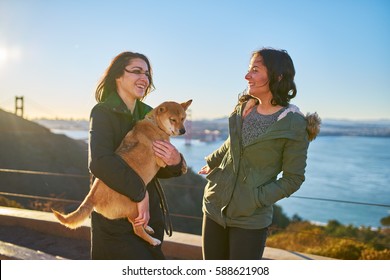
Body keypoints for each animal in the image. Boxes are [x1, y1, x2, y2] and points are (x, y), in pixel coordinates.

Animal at [51, 100, 192, 245]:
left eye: (183, 118)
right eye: (173, 119)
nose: (183, 131)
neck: (155, 124)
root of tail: (92, 197)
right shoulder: (162, 159)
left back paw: (148, 227)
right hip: (134, 209)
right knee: (137, 230)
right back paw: (152, 241)